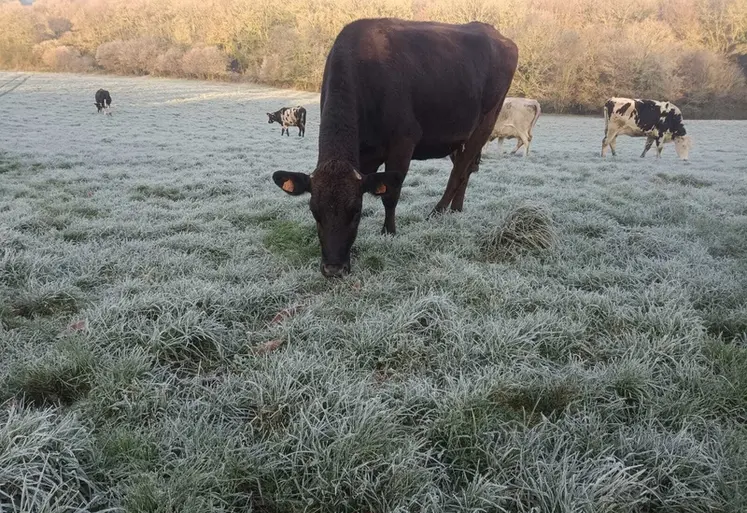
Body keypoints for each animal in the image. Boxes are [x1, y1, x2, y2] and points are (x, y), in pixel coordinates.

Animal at [271, 18, 518, 277]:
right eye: (314, 212)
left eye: (355, 211)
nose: (333, 269)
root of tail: (494, 32)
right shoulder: (364, 154)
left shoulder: (403, 142)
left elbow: (390, 194)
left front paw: (388, 231)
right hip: (458, 135)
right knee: (467, 168)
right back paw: (456, 209)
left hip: (486, 122)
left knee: (460, 170)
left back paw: (438, 211)